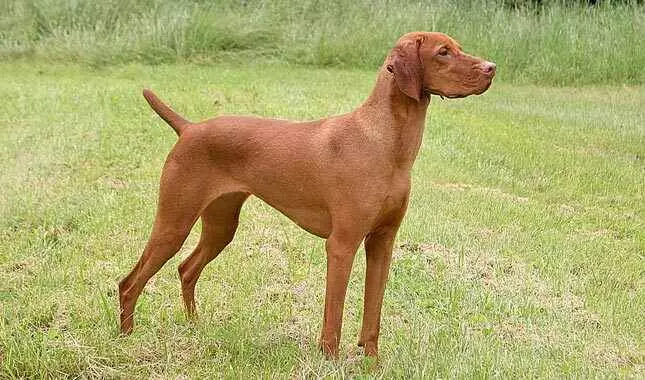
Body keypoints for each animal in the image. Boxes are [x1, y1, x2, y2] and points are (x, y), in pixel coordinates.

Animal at [119, 31, 494, 358]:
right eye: (443, 52)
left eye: (458, 47)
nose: (492, 67)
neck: (384, 144)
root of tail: (190, 128)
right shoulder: (342, 245)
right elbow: (334, 317)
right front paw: (329, 360)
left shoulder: (382, 242)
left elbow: (373, 315)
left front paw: (372, 362)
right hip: (174, 223)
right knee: (129, 282)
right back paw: (126, 338)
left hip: (221, 226)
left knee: (186, 269)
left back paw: (195, 327)